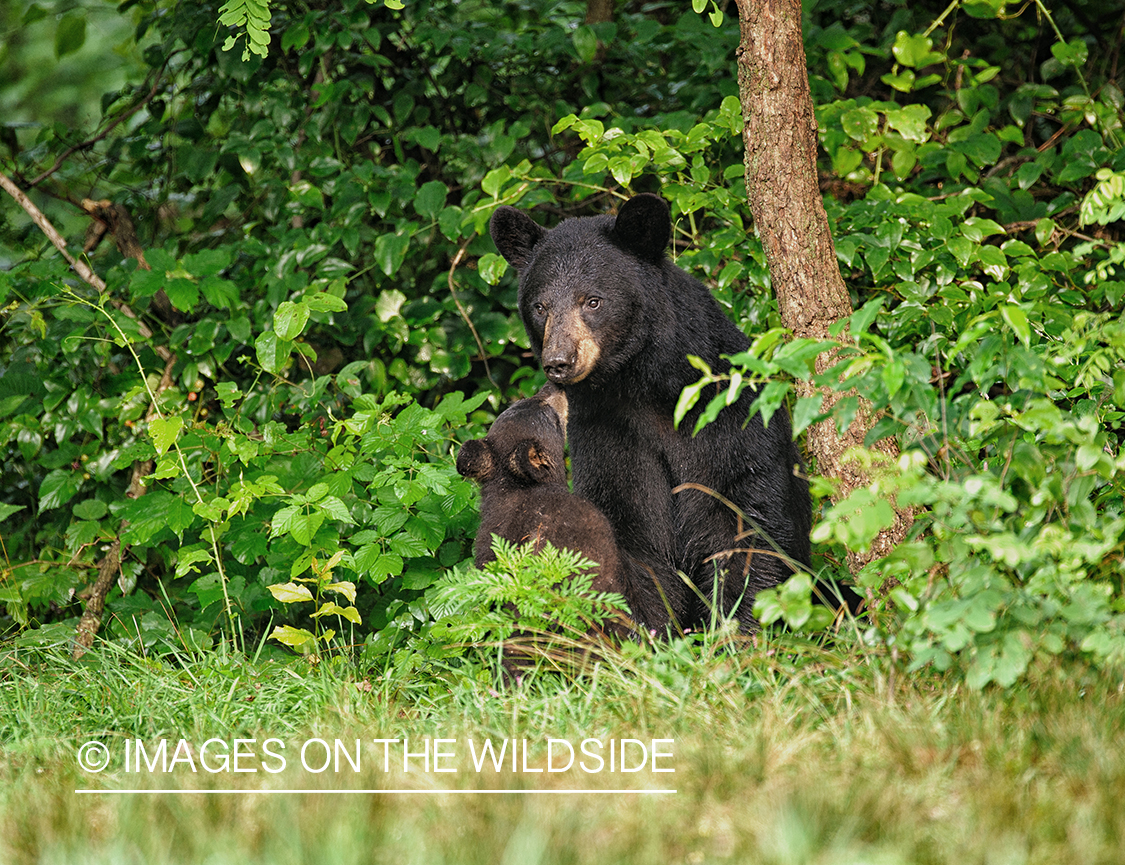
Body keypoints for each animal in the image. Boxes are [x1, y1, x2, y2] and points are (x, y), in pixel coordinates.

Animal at [490, 192, 810, 629]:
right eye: (540, 307)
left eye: (593, 301)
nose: (559, 360)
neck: (649, 387)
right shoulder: (612, 432)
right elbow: (634, 533)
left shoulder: (730, 422)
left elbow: (744, 526)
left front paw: (732, 626)